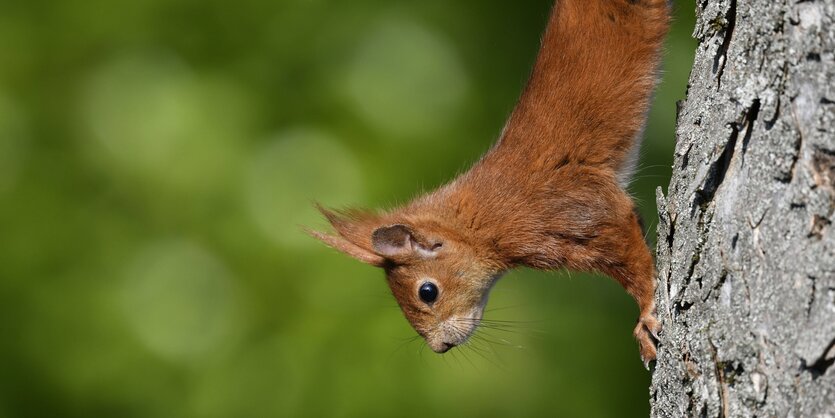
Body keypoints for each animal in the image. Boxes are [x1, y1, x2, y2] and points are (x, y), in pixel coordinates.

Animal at [310, 0, 668, 366]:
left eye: (427, 292)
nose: (440, 348)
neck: (479, 221)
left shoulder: (574, 211)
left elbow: (628, 252)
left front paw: (646, 315)